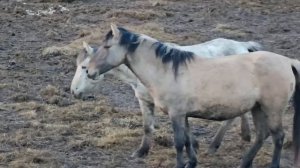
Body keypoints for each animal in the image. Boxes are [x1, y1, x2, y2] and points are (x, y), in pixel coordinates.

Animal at [71, 36, 262, 158]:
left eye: (84, 67)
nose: (73, 92)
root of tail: (243, 46)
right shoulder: (146, 101)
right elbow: (148, 127)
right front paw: (142, 152)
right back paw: (244, 135)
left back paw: (215, 145)